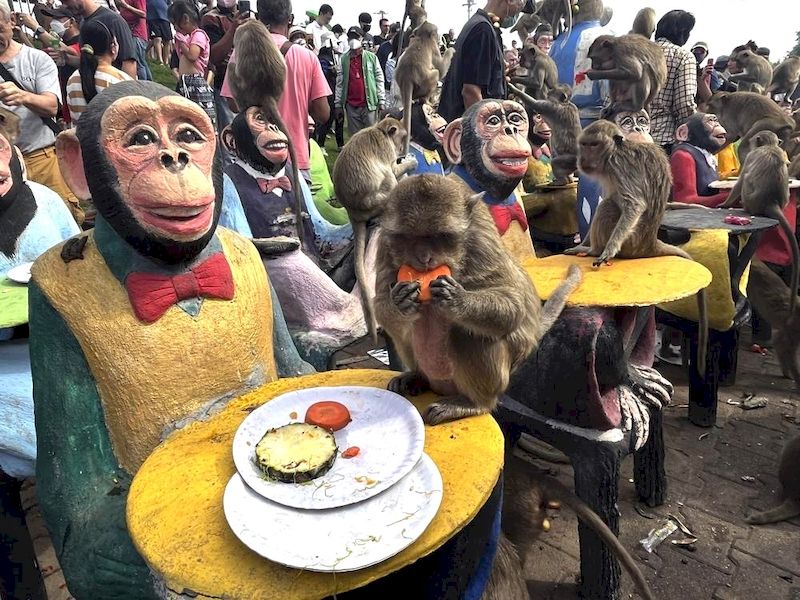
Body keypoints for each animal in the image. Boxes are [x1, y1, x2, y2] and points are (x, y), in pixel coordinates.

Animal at [332, 117, 417, 341]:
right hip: (377, 200)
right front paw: (410, 162)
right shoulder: (386, 150)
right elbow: (392, 170)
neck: (380, 130)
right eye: (402, 137)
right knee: (388, 178)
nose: (401, 149)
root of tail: (353, 213)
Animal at [374, 174, 582, 425]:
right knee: (404, 329)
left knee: (467, 334)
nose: (424, 258)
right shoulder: (384, 244)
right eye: (409, 237)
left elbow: (513, 305)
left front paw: (457, 300)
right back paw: (416, 376)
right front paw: (399, 301)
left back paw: (474, 403)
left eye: (441, 237)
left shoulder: (481, 240)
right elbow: (381, 300)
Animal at [394, 20, 453, 156]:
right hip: (425, 82)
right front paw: (450, 50)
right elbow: (441, 70)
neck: (422, 36)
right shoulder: (434, 47)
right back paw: (426, 100)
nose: (439, 38)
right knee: (436, 73)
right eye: (436, 33)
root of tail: (406, 78)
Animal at [565, 120, 708, 372]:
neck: (614, 151)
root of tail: (649, 243)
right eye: (584, 144)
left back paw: (594, 249)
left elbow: (634, 205)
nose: (583, 159)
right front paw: (582, 243)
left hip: (631, 243)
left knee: (609, 207)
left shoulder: (619, 166)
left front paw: (606, 250)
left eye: (594, 145)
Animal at [719, 130, 799, 323]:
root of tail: (772, 202)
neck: (769, 146)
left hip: (750, 199)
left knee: (746, 180)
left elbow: (740, 181)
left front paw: (725, 204)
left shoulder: (750, 157)